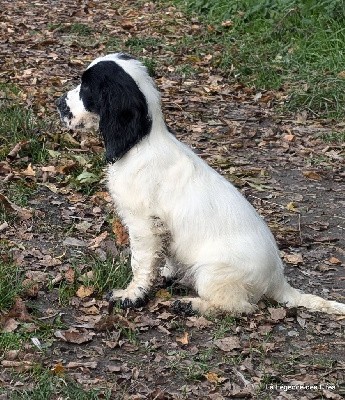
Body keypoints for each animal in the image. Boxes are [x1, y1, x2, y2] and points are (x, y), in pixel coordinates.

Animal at [57, 53, 344, 316]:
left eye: (86, 89)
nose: (58, 103)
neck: (141, 143)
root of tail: (278, 280)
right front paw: (166, 273)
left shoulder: (143, 224)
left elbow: (140, 263)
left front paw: (131, 295)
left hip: (213, 272)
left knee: (240, 307)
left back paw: (190, 304)